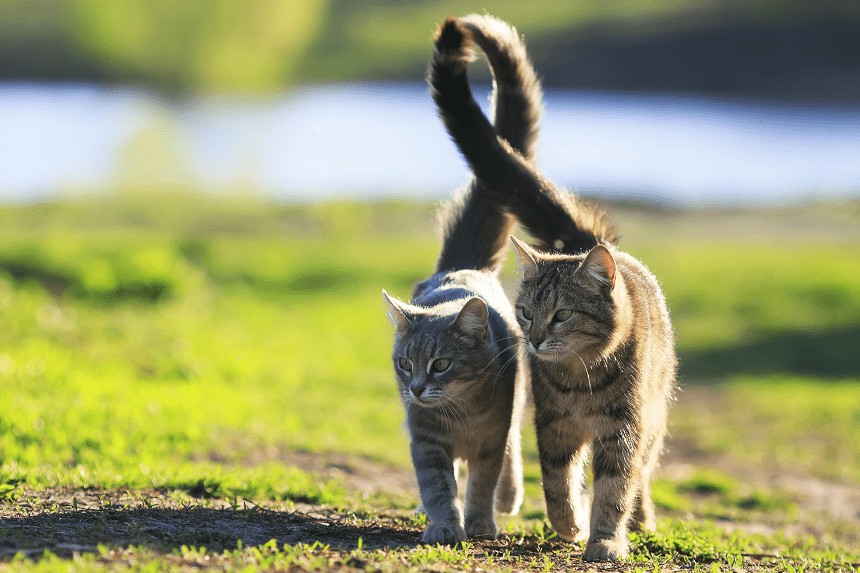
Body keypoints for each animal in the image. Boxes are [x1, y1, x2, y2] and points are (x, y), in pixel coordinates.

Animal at [384, 12, 544, 540]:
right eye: (405, 364)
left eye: (440, 365)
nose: (416, 389)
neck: (459, 416)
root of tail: (462, 267)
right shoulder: (426, 443)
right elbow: (438, 485)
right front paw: (443, 525)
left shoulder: (492, 439)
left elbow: (482, 481)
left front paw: (478, 522)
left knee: (511, 458)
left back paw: (507, 500)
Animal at [430, 16, 680, 560]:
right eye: (526, 313)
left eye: (562, 314)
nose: (538, 339)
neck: (580, 378)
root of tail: (590, 242)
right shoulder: (554, 426)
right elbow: (557, 482)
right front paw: (569, 525)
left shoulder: (623, 431)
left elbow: (615, 488)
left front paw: (605, 539)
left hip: (654, 416)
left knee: (645, 472)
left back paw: (644, 518)